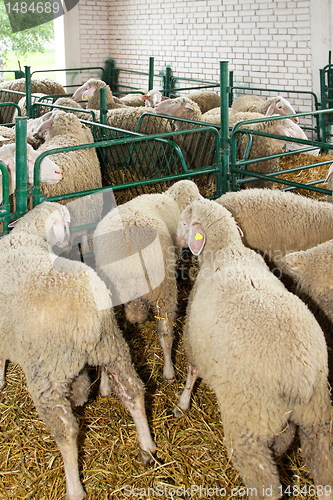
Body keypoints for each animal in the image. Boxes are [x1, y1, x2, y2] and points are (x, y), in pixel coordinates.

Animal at [0, 200, 156, 500]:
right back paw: (147, 447)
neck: (28, 237)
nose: (68, 240)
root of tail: (90, 316)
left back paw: (74, 488)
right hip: (112, 346)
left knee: (67, 431)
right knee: (132, 390)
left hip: (46, 374)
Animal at [172, 197, 332, 498]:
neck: (227, 249)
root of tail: (298, 377)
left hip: (248, 425)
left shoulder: (192, 339)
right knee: (322, 466)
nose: (175, 240)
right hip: (318, 417)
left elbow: (191, 372)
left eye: (185, 222)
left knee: (264, 482)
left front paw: (182, 405)